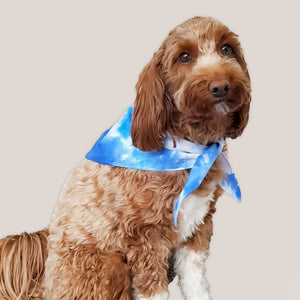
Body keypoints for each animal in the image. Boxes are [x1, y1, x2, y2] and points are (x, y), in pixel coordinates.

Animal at [0, 17, 250, 300]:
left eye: (226, 49)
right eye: (184, 57)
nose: (221, 86)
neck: (193, 149)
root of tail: (44, 286)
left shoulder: (198, 227)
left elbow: (196, 281)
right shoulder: (146, 237)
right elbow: (154, 290)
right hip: (107, 264)